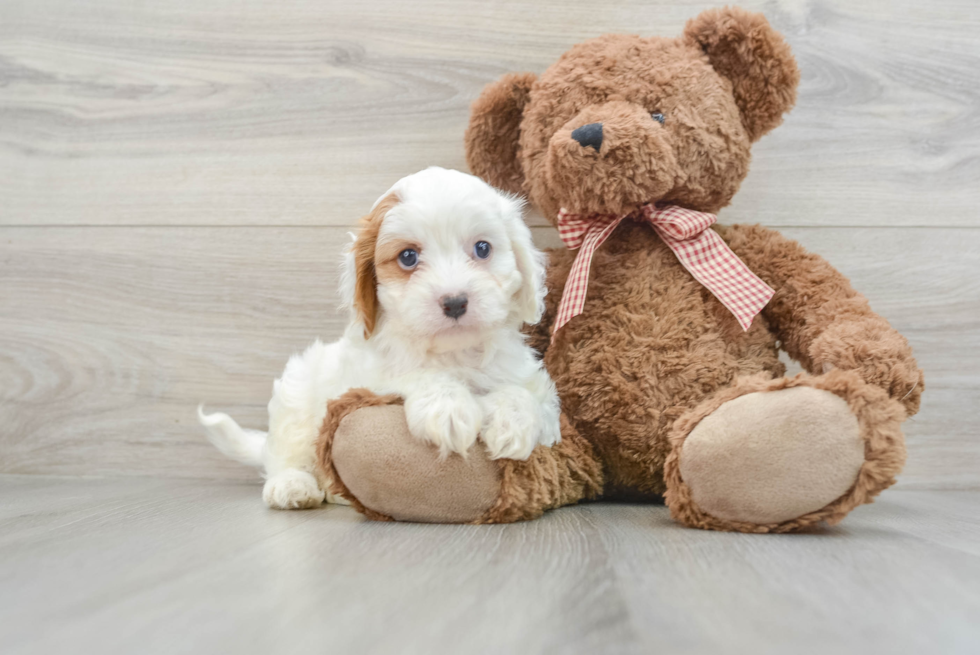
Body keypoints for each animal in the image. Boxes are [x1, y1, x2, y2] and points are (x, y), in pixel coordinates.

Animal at [201, 167, 560, 510]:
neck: (454, 353)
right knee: (286, 453)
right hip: (296, 395)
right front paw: (447, 409)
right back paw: (292, 486)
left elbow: (524, 395)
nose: (455, 301)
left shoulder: (541, 396)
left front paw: (511, 421)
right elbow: (415, 375)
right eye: (408, 257)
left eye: (482, 248)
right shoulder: (365, 380)